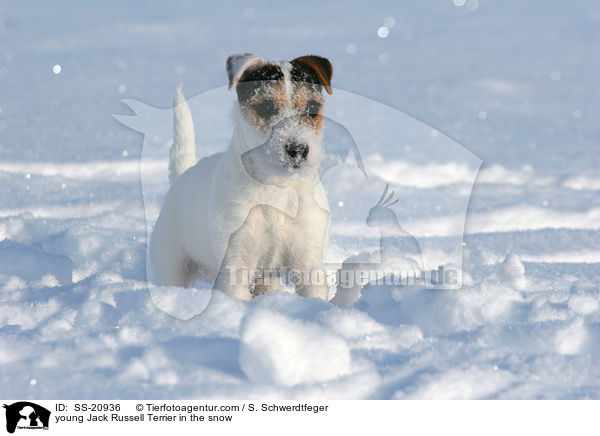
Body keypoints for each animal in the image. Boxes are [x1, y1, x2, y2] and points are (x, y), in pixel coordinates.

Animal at [146, 54, 332, 300]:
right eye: (266, 106)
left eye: (312, 107)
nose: (299, 149)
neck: (276, 186)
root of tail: (182, 177)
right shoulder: (236, 261)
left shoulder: (308, 260)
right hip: (171, 264)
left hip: (267, 281)